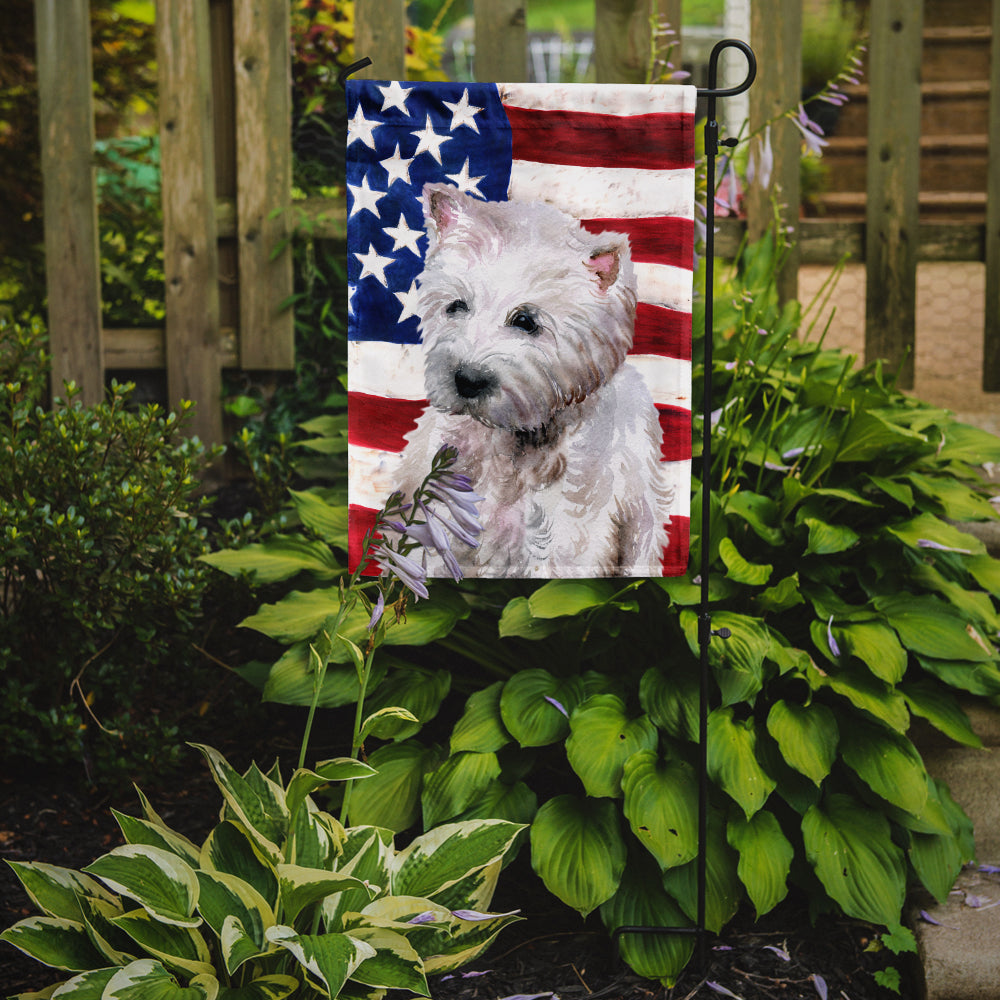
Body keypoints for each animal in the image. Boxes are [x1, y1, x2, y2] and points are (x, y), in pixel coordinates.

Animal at [392, 184, 672, 580]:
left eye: (526, 321)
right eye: (456, 306)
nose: (466, 381)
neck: (510, 443)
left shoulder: (567, 536)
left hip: (641, 514)